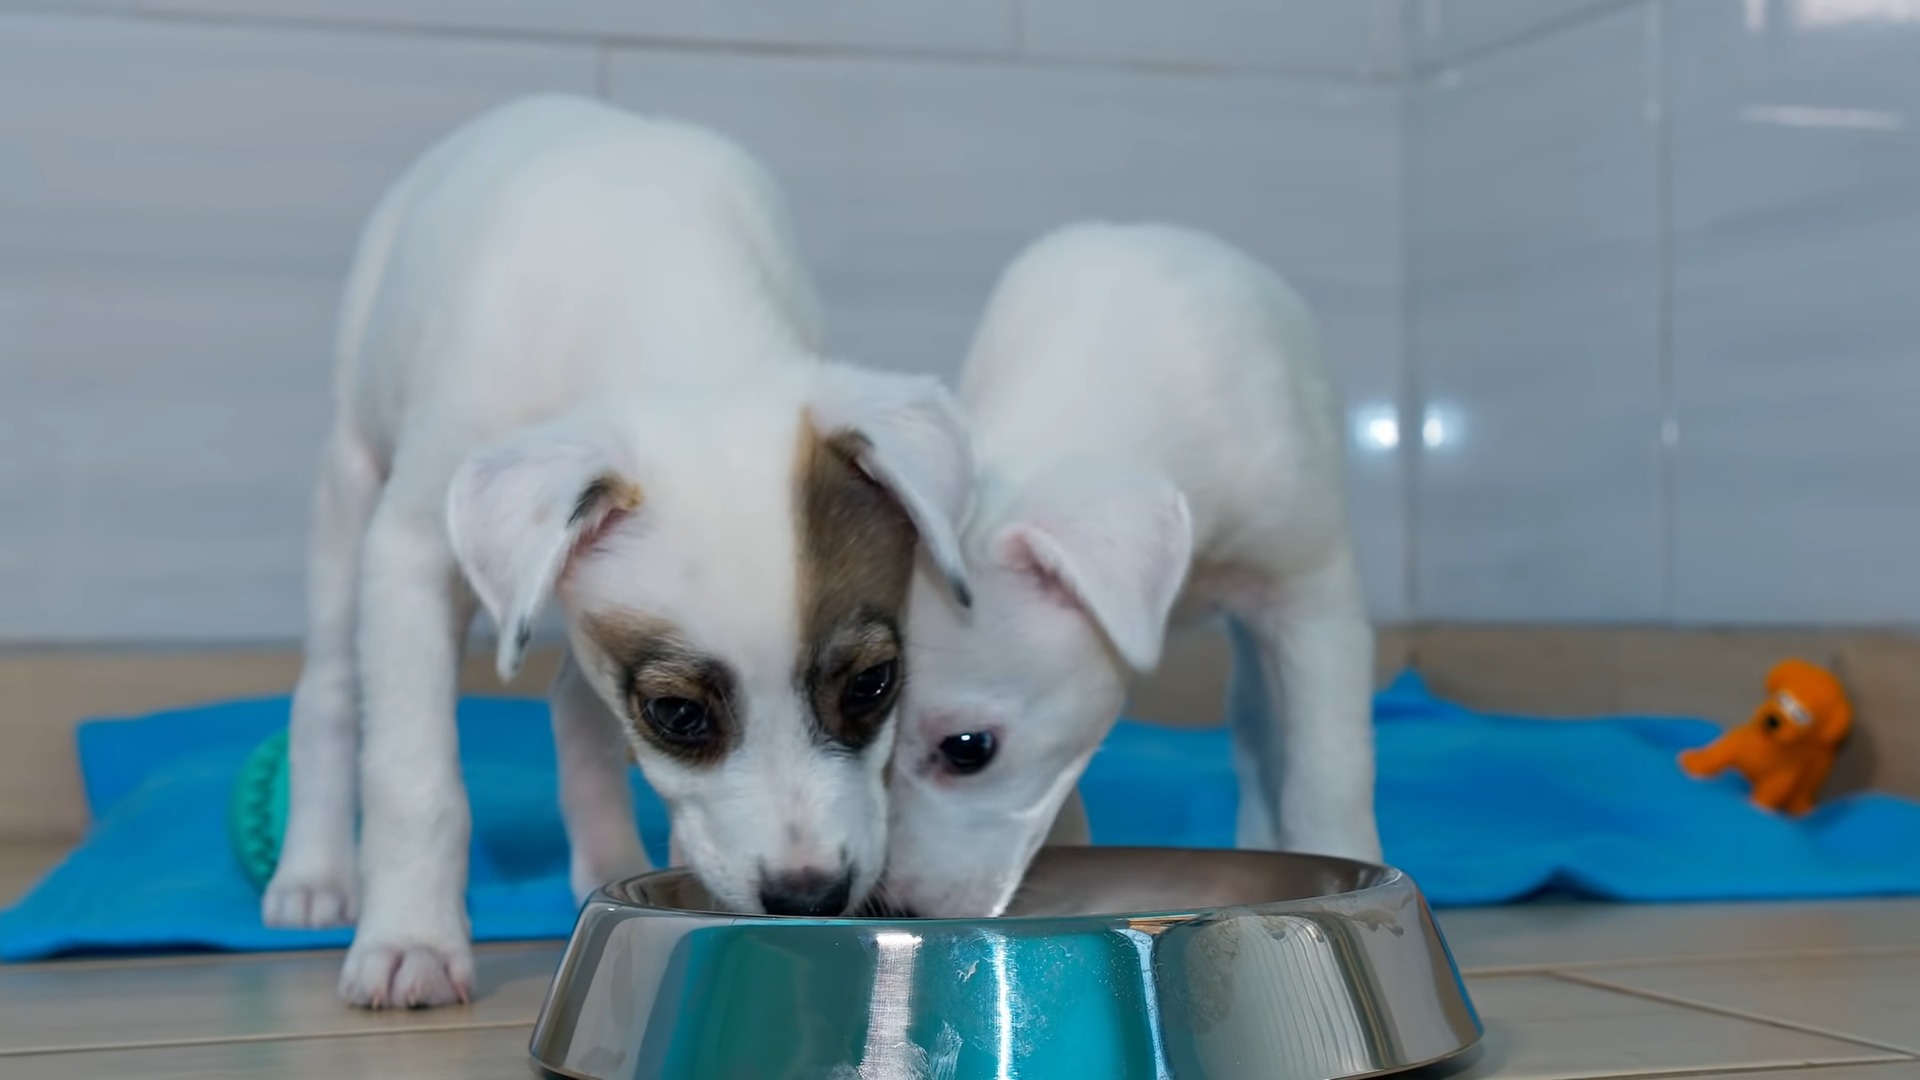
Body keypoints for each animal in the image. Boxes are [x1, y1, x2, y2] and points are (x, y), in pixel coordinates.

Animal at [259, 96, 975, 1006]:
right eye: (678, 715)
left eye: (873, 684)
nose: (809, 896)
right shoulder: (413, 549)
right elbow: (412, 775)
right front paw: (410, 938)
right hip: (350, 486)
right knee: (327, 693)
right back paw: (315, 877)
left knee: (571, 699)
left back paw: (605, 860)